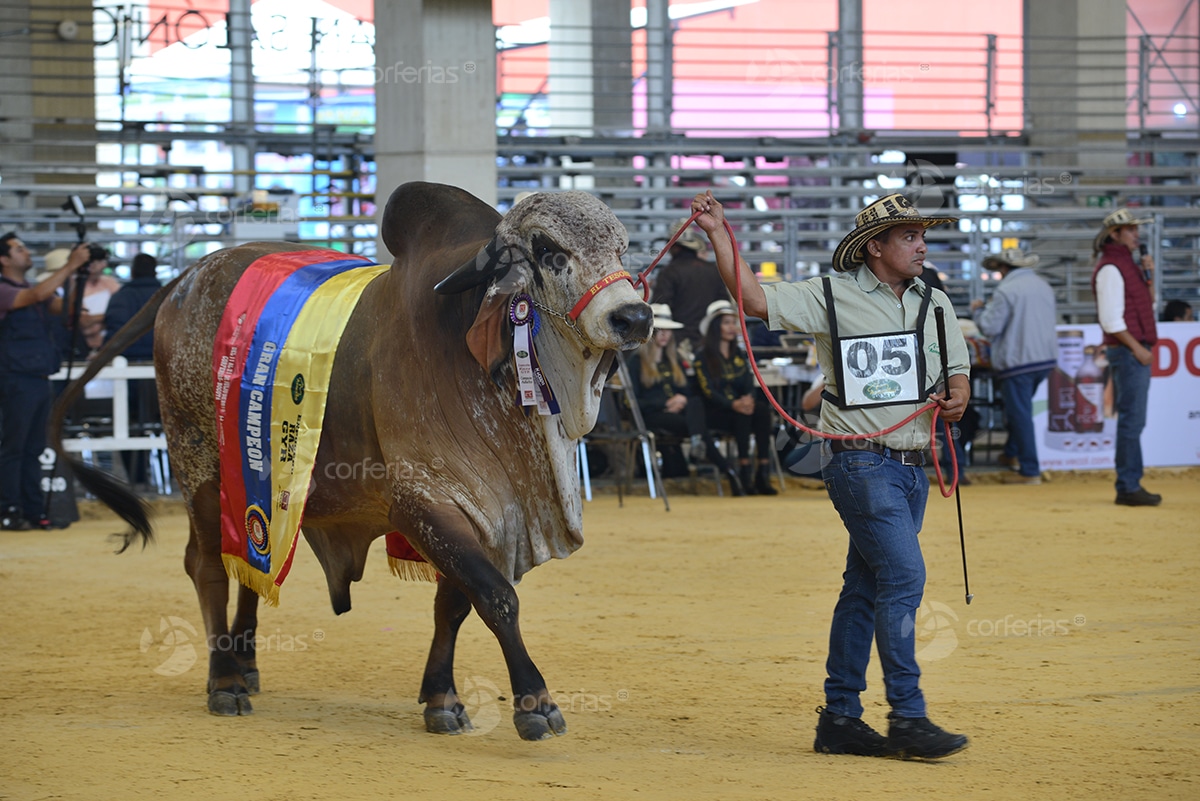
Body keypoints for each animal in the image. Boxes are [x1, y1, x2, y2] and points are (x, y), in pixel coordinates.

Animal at [51, 179, 652, 738]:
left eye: (621, 248)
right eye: (549, 249)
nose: (633, 317)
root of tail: (186, 278)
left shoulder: (493, 515)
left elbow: (454, 605)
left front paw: (442, 698)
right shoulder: (424, 502)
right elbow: (496, 596)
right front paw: (536, 703)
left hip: (258, 484)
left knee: (248, 565)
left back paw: (245, 662)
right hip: (195, 456)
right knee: (206, 565)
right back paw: (223, 680)